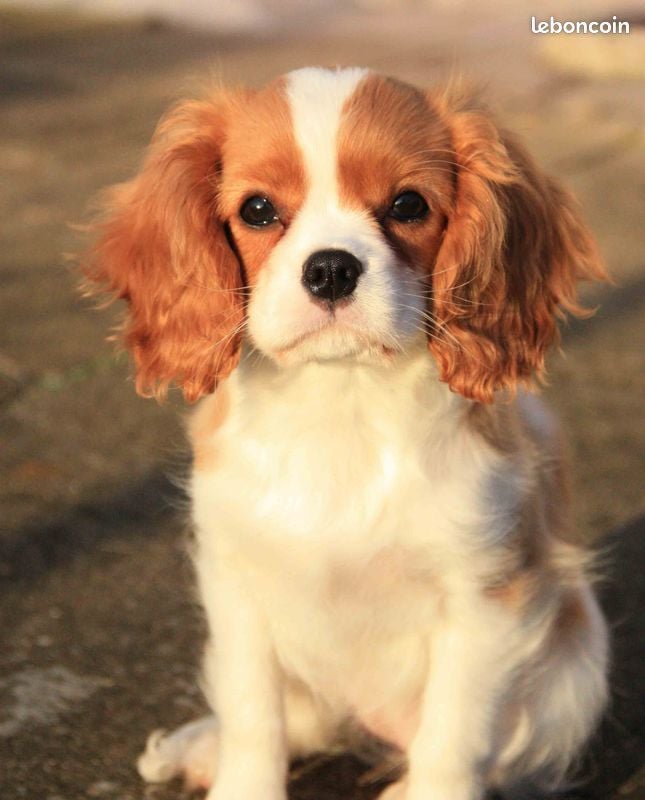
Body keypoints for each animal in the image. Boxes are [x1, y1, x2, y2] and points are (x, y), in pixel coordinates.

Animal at [84, 69, 608, 800]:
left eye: (408, 204)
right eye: (257, 210)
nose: (330, 268)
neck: (343, 401)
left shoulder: (485, 600)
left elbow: (453, 739)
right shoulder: (236, 580)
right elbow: (253, 716)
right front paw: (240, 779)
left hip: (574, 675)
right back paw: (198, 748)